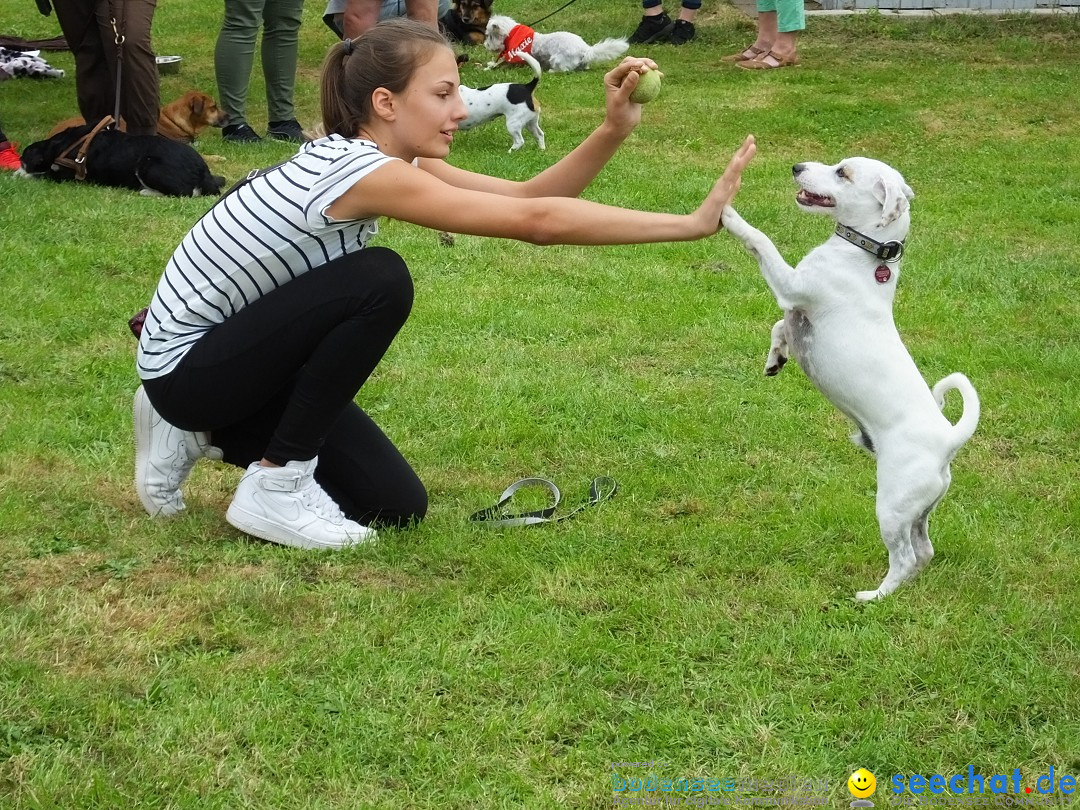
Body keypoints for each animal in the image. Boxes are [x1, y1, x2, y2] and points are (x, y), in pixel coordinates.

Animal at [17, 124, 225, 198]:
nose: (20, 160)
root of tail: (203, 171)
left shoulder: (65, 176)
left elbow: (42, 175)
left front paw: (19, 174)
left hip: (148, 165)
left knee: (184, 193)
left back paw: (147, 192)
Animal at [483, 13, 630, 72]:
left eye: (489, 36)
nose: (485, 45)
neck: (512, 34)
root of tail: (586, 49)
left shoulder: (516, 57)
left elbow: (502, 63)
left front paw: (488, 68)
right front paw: (490, 64)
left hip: (557, 59)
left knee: (564, 70)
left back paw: (552, 71)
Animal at [725, 158, 980, 604]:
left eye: (842, 172)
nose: (797, 166)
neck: (862, 254)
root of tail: (949, 440)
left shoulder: (791, 286)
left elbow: (760, 240)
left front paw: (727, 212)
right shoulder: (794, 312)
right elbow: (780, 328)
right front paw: (775, 360)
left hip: (892, 506)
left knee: (904, 558)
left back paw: (873, 598)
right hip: (919, 511)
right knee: (924, 551)